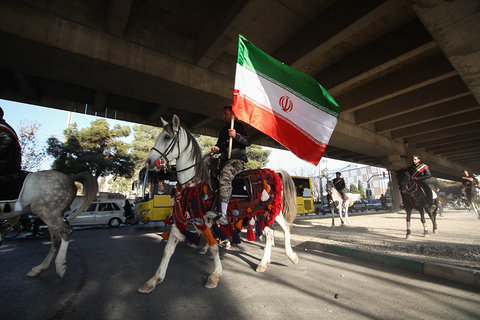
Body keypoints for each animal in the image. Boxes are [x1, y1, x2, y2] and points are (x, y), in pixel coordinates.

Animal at [137, 114, 298, 292]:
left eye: (166, 137)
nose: (148, 162)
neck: (195, 180)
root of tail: (273, 173)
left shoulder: (205, 218)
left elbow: (213, 246)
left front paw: (215, 275)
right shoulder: (185, 217)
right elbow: (168, 249)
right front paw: (153, 280)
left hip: (269, 211)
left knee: (280, 230)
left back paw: (284, 258)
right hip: (264, 212)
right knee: (274, 231)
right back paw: (269, 261)